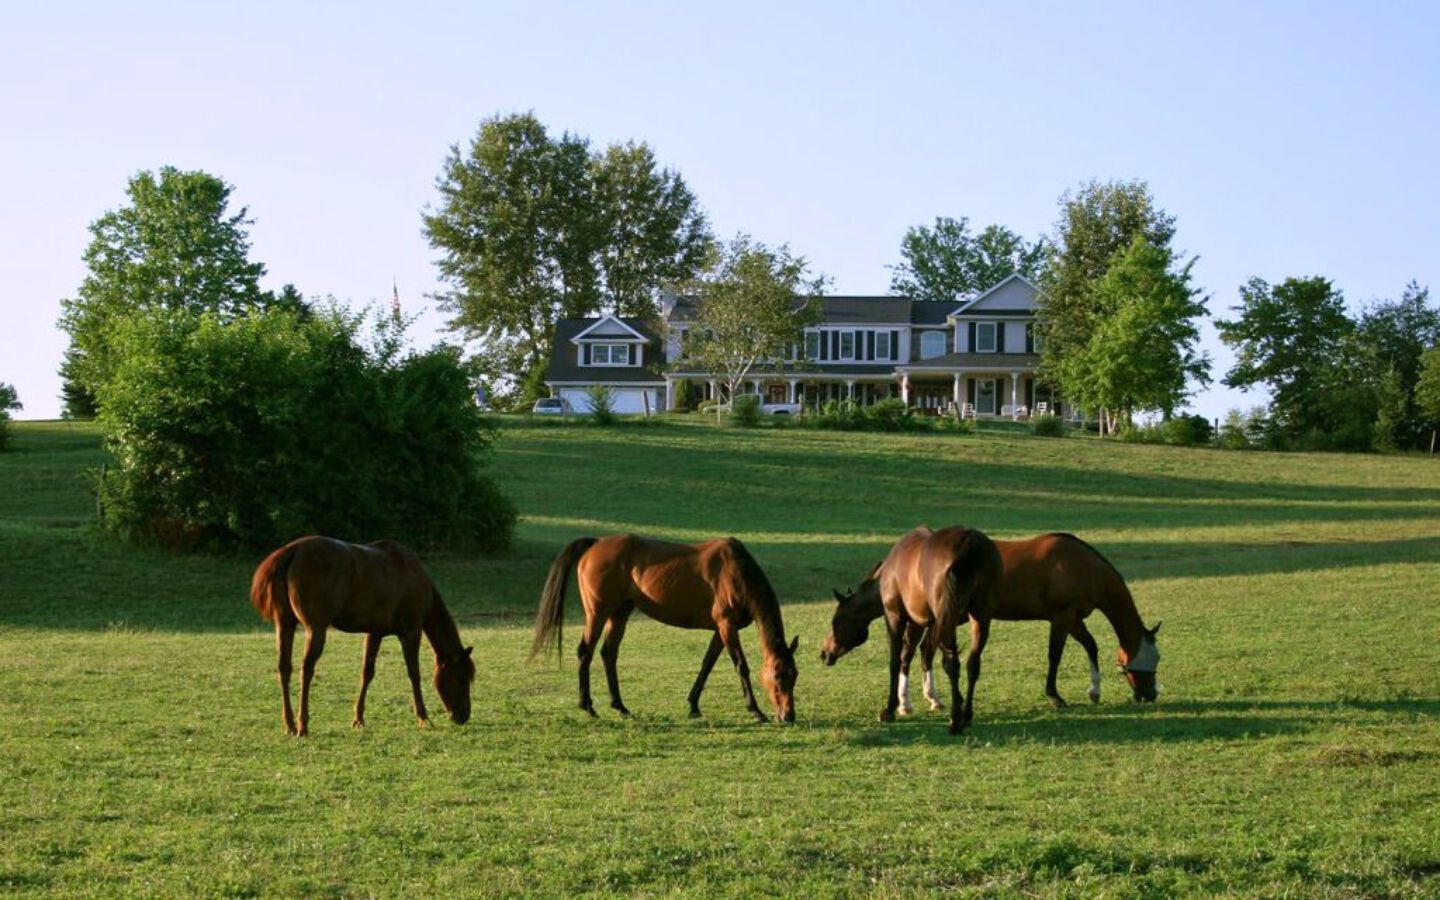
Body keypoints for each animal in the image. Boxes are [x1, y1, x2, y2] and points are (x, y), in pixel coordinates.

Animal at [247, 532, 472, 737]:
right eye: (462, 678)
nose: (463, 716)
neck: (410, 574)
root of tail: (293, 550)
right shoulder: (411, 631)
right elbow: (414, 674)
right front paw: (423, 717)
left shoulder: (375, 632)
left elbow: (367, 673)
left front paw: (358, 718)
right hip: (316, 628)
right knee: (307, 669)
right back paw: (302, 725)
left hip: (285, 624)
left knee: (284, 667)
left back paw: (290, 724)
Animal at [529, 532, 800, 722]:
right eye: (777, 675)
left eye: (794, 674)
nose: (788, 716)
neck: (736, 572)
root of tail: (595, 544)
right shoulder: (727, 626)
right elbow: (741, 666)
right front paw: (755, 711)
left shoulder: (720, 630)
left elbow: (706, 665)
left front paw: (693, 705)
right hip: (598, 613)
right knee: (585, 651)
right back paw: (588, 706)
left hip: (620, 612)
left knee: (609, 653)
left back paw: (621, 707)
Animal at [817, 527, 1008, 731]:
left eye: (836, 621)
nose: (824, 653)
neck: (887, 575)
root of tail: (970, 543)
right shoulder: (923, 623)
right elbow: (916, 655)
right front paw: (918, 701)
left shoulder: (895, 618)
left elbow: (896, 660)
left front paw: (891, 708)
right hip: (979, 618)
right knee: (972, 664)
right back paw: (966, 716)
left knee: (952, 664)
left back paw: (955, 720)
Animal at [898, 529, 1157, 711]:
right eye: (1152, 659)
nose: (1152, 694)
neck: (1081, 566)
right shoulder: (1062, 619)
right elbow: (1055, 655)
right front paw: (1055, 695)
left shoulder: (1074, 620)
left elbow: (1091, 646)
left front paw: (1094, 691)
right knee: (916, 652)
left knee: (923, 650)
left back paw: (930, 699)